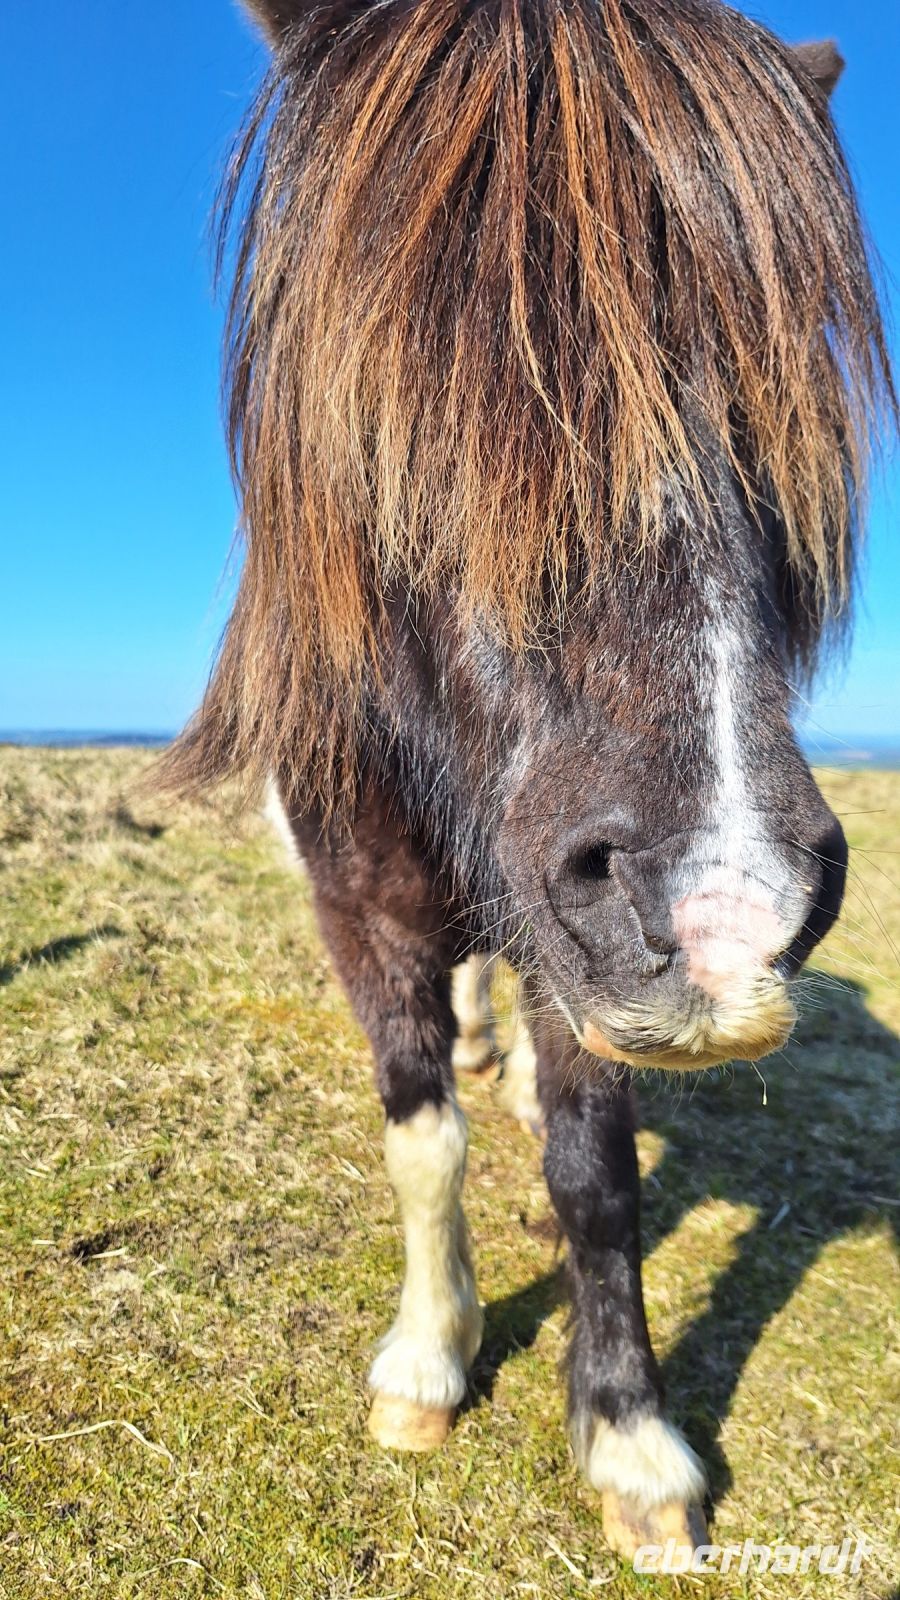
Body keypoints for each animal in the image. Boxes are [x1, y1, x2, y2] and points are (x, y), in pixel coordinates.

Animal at [164, 0, 893, 1563]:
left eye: (772, 385)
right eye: (399, 364)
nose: (728, 899)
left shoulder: (587, 956)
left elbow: (595, 1175)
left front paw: (630, 1439)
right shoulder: (364, 912)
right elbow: (419, 1134)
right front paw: (428, 1367)